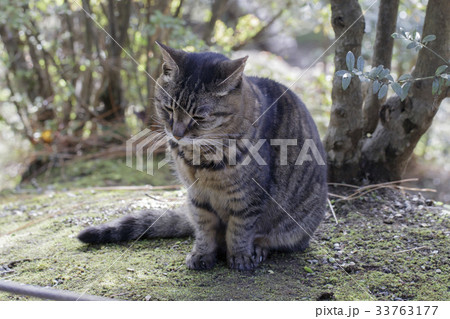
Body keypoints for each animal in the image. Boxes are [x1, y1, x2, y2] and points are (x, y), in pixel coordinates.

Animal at [78, 42, 326, 272]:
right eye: (168, 109)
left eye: (199, 117)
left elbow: (240, 229)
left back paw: (258, 249)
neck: (200, 157)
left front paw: (240, 256)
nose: (177, 133)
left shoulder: (248, 198)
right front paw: (202, 254)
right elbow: (204, 228)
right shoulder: (197, 195)